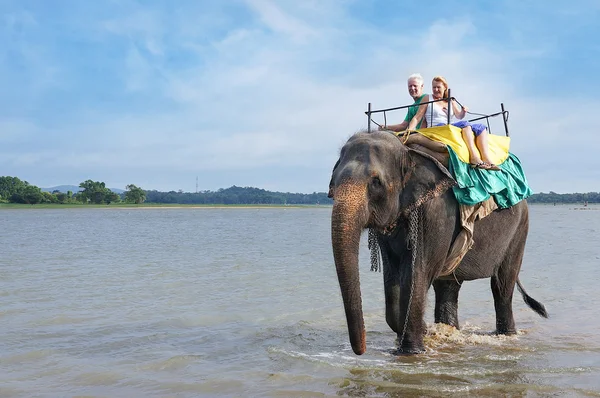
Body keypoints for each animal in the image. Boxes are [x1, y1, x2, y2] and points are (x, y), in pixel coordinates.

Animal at [328, 130, 548, 354]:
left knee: (502, 285)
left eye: (376, 182)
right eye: (333, 183)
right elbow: (392, 276)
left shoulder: (436, 214)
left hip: (519, 229)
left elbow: (416, 274)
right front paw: (414, 338)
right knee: (448, 286)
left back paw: (506, 335)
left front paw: (413, 351)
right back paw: (450, 331)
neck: (407, 151)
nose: (361, 350)